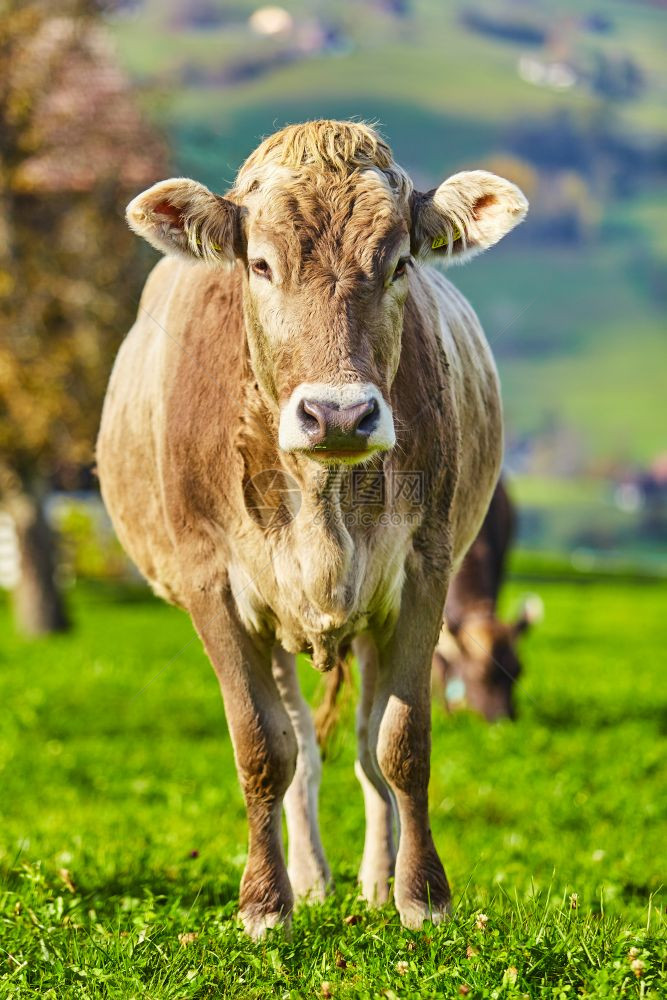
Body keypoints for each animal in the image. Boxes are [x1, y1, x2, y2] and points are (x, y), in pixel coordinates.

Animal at [98, 121, 528, 932]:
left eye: (399, 264)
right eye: (261, 264)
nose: (338, 414)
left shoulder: (423, 572)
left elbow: (401, 743)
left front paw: (421, 897)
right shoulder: (213, 587)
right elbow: (262, 749)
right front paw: (266, 905)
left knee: (359, 744)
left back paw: (371, 880)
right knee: (297, 740)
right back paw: (308, 878)